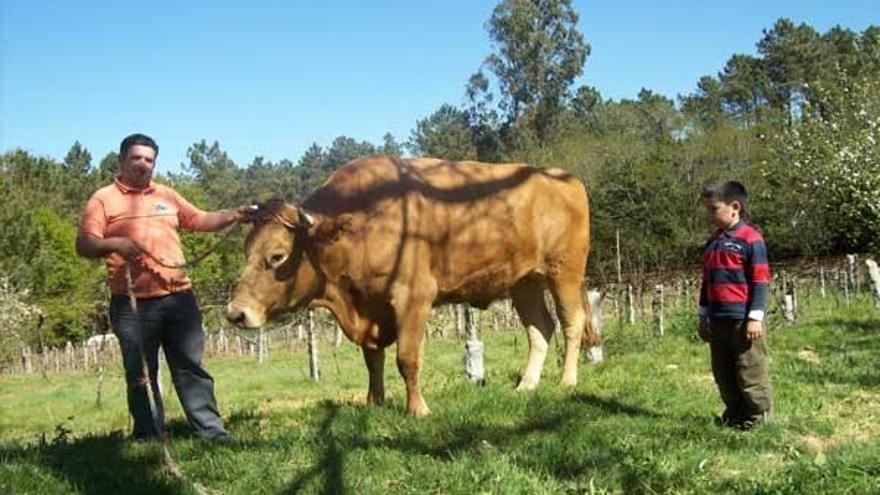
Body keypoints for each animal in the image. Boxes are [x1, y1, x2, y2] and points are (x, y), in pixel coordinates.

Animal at [227, 157, 600, 416]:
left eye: (276, 256)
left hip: (564, 273)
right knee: (540, 328)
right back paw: (527, 385)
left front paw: (417, 409)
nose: (235, 313)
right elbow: (373, 360)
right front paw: (375, 402)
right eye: (246, 251)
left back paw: (567, 380)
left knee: (571, 324)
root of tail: (562, 177)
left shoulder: (413, 297)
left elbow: (407, 358)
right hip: (525, 282)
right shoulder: (371, 309)